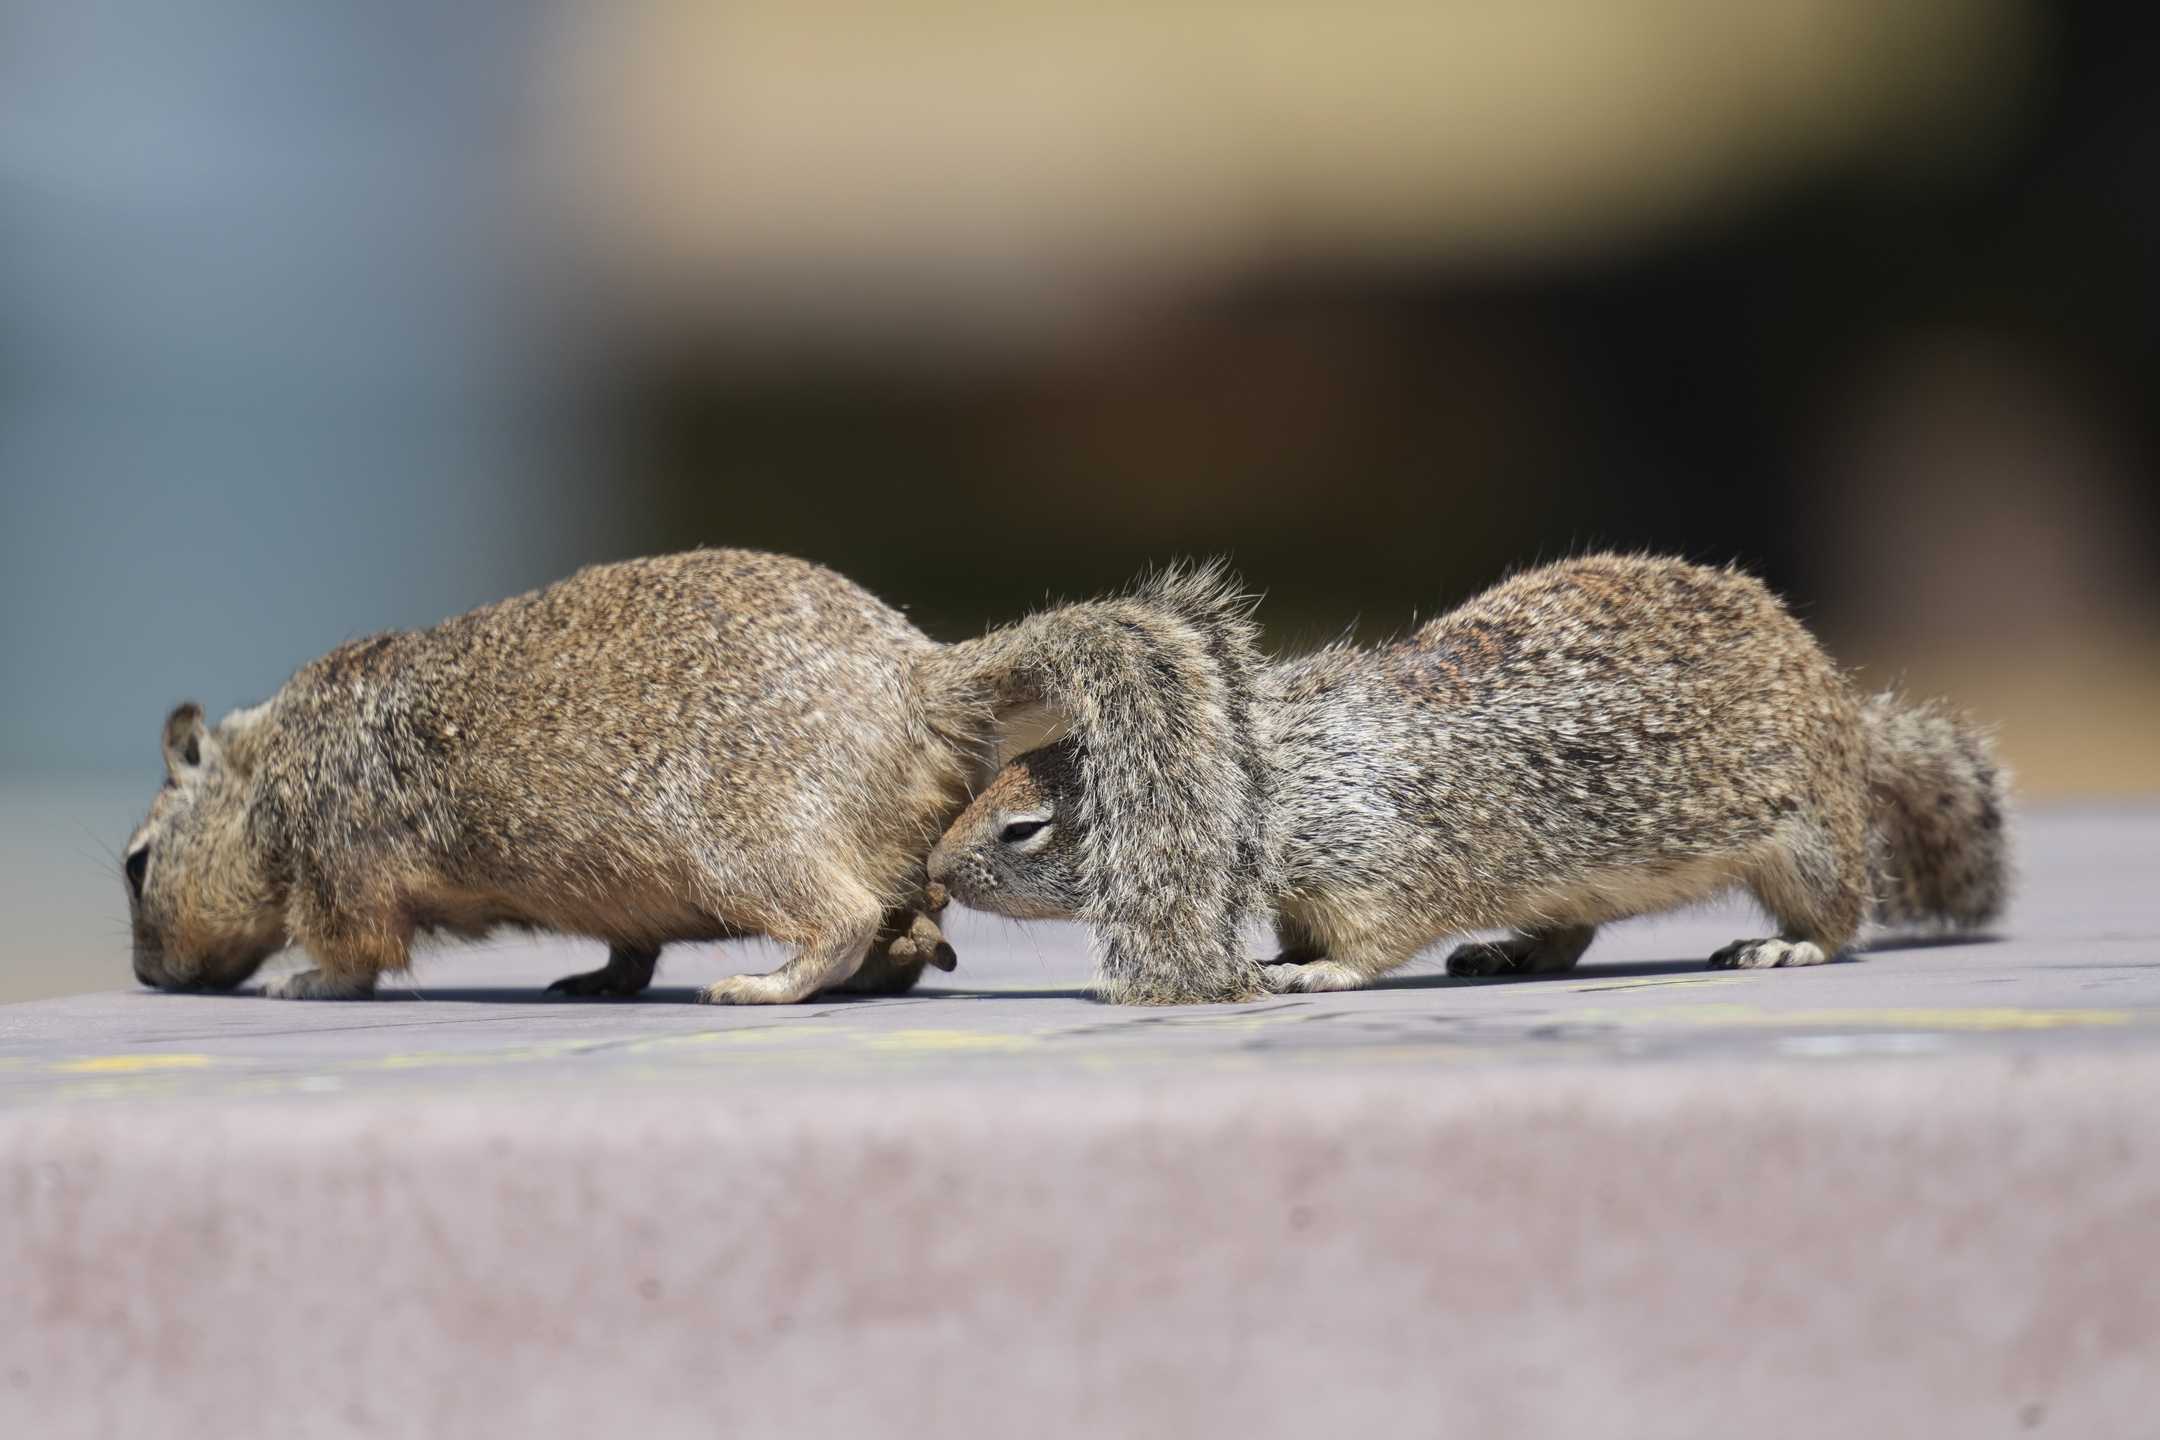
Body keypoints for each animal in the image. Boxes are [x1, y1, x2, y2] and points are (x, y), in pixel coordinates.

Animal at [123, 550, 1268, 1004]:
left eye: (136, 865)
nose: (146, 975)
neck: (272, 768)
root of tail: (919, 677)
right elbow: (628, 947)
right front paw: (600, 977)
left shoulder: (338, 869)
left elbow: (355, 953)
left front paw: (300, 979)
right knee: (908, 917)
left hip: (745, 845)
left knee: (844, 914)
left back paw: (766, 984)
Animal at [926, 554, 2011, 994]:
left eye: (1023, 827)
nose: (934, 869)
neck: (1279, 779)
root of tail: (1846, 712)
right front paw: (1282, 957)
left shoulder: (1383, 858)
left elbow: (1375, 936)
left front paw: (1315, 971)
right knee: (1570, 928)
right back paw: (1514, 953)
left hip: (1809, 840)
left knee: (1839, 914)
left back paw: (1782, 947)